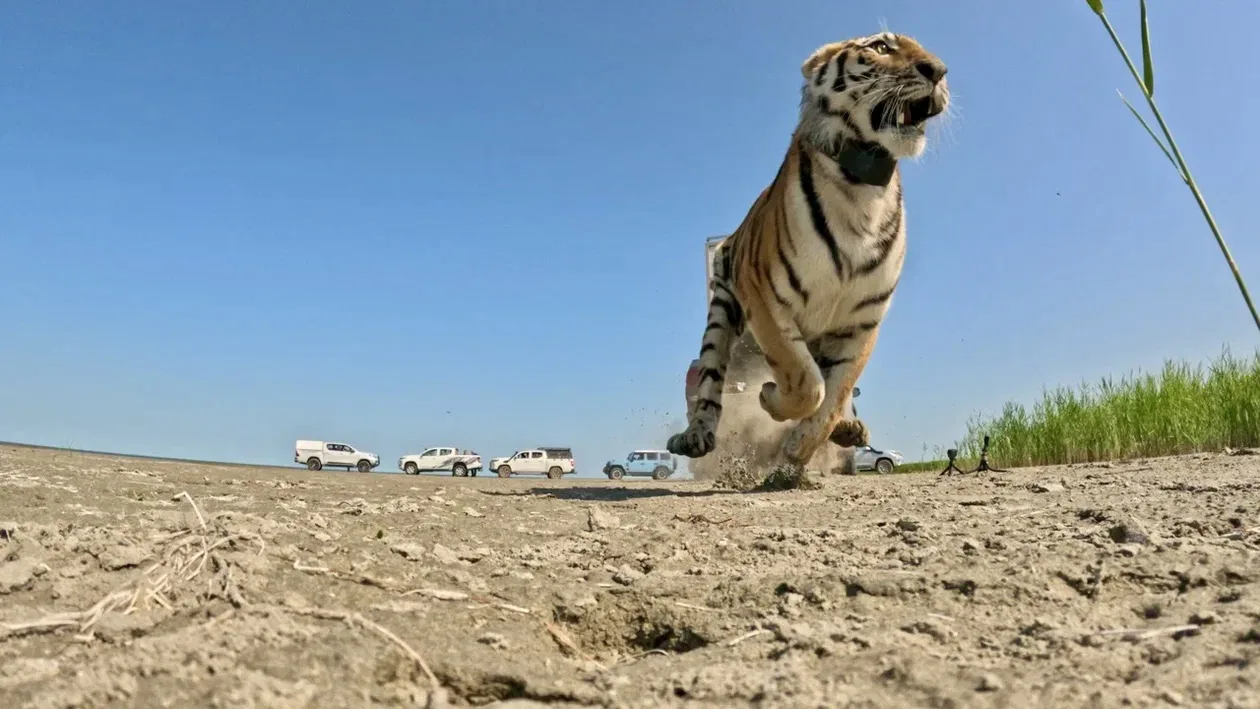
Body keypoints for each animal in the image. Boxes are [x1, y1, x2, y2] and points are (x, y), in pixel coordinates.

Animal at [666, 31, 950, 471]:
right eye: (881, 47)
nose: (938, 70)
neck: (862, 188)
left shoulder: (863, 321)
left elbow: (835, 392)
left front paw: (803, 444)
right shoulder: (764, 299)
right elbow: (805, 381)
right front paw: (770, 398)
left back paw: (847, 429)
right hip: (722, 312)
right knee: (712, 381)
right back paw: (697, 435)